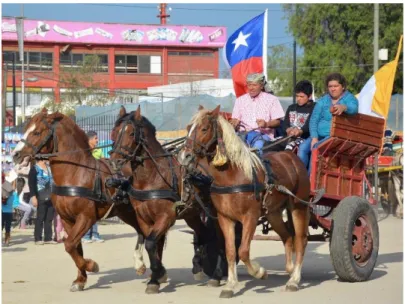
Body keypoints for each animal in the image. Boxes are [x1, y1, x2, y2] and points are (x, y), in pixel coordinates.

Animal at [11, 109, 148, 292]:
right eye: (26, 129)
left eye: (37, 132)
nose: (15, 155)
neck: (74, 174)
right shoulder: (68, 220)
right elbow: (75, 248)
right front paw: (80, 279)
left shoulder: (86, 218)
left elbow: (69, 245)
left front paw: (91, 266)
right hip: (126, 212)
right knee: (141, 231)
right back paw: (140, 264)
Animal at [109, 105, 232, 294]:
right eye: (114, 132)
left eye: (131, 133)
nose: (115, 162)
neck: (152, 176)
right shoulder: (144, 219)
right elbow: (154, 245)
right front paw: (155, 277)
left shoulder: (166, 216)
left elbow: (151, 243)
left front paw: (158, 272)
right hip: (192, 214)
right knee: (205, 234)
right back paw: (198, 266)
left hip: (215, 213)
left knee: (219, 238)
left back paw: (217, 274)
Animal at [178, 105, 312, 298]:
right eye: (189, 128)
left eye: (204, 129)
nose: (184, 156)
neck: (232, 175)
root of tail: (292, 157)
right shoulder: (225, 218)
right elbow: (230, 250)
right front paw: (230, 285)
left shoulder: (250, 217)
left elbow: (243, 250)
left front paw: (259, 272)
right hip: (273, 213)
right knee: (287, 236)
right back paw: (290, 268)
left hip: (298, 207)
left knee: (300, 240)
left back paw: (294, 280)